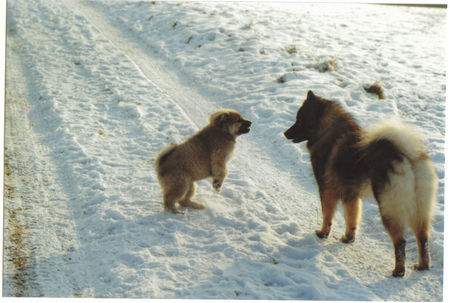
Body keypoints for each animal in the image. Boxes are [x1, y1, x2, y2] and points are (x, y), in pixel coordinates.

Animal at [284, 91, 436, 278]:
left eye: (300, 120)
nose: (285, 133)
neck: (327, 131)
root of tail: (406, 156)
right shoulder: (351, 195)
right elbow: (352, 219)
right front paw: (348, 239)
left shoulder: (327, 189)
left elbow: (327, 216)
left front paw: (322, 234)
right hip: (420, 211)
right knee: (423, 239)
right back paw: (422, 266)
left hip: (389, 209)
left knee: (400, 242)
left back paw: (398, 271)